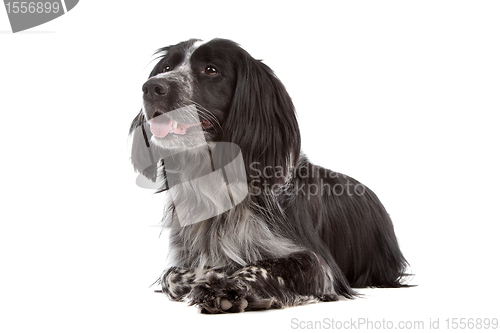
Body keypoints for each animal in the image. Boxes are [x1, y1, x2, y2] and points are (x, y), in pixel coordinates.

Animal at [130, 38, 410, 312]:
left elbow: (260, 267)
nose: (151, 87)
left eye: (211, 70)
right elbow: (172, 275)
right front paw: (212, 274)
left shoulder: (320, 266)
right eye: (167, 67)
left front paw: (224, 288)